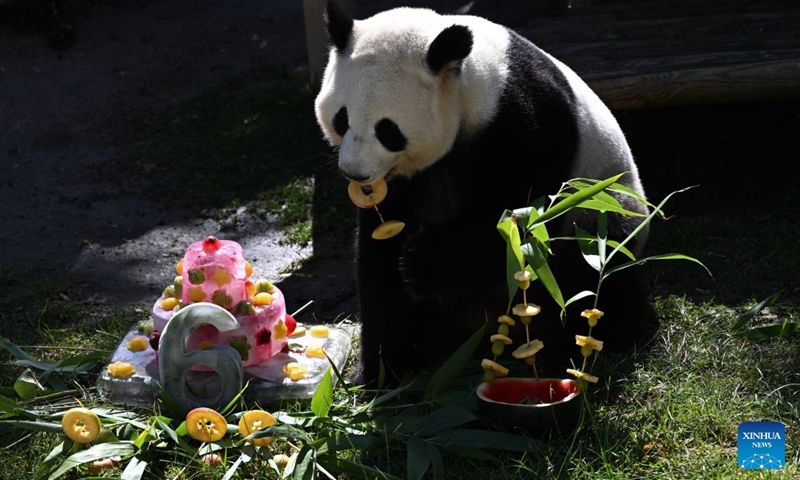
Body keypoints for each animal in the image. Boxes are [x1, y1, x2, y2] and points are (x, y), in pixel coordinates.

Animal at [315, 2, 652, 385]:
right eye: (342, 119)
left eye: (387, 130)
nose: (354, 173)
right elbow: (379, 263)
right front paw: (382, 370)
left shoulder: (526, 122)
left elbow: (520, 220)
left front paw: (421, 259)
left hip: (604, 207)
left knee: (596, 272)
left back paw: (592, 343)